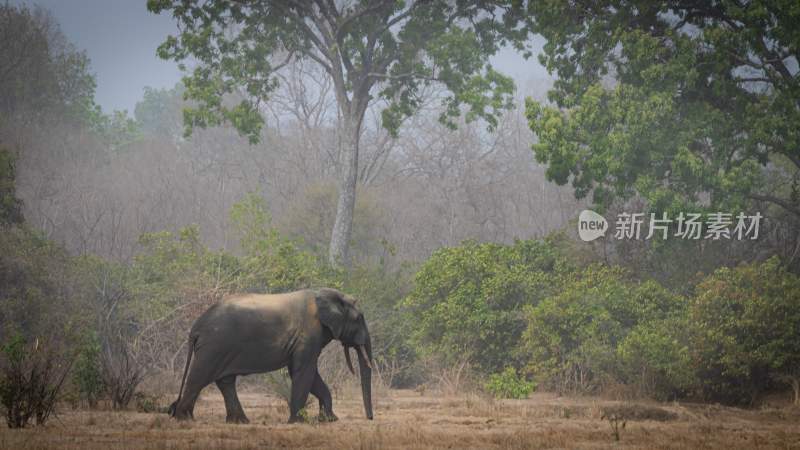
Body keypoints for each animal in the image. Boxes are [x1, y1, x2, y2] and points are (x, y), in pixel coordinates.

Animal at [167, 288, 374, 426]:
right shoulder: (308, 334)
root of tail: (196, 328)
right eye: (359, 318)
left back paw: (240, 421)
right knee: (199, 376)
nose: (370, 418)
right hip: (214, 346)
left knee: (225, 381)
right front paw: (297, 422)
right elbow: (303, 372)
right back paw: (184, 418)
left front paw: (329, 420)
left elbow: (308, 374)